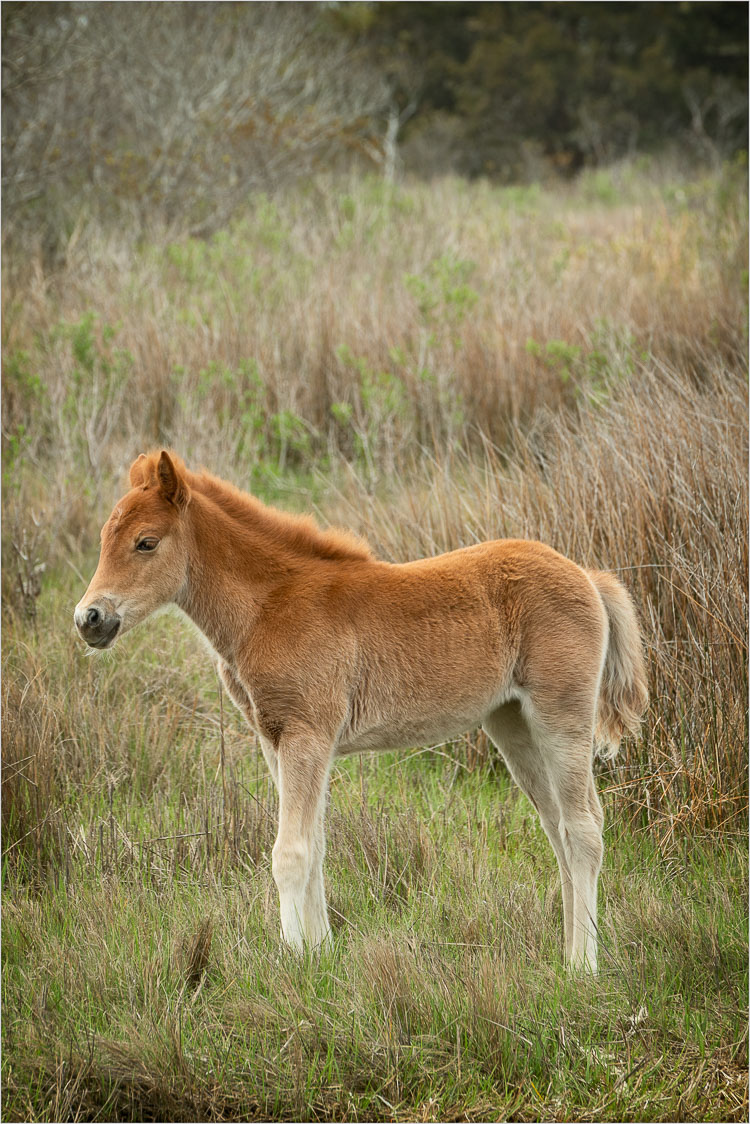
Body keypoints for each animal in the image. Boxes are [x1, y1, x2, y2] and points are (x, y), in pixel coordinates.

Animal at [77, 451, 652, 971]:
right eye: (104, 538)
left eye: (146, 542)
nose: (90, 619)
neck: (271, 604)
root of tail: (588, 575)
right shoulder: (275, 739)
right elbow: (315, 846)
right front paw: (321, 953)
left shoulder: (308, 734)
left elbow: (291, 853)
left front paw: (292, 962)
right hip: (512, 725)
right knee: (557, 829)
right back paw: (567, 953)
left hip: (561, 718)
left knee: (584, 827)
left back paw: (583, 967)